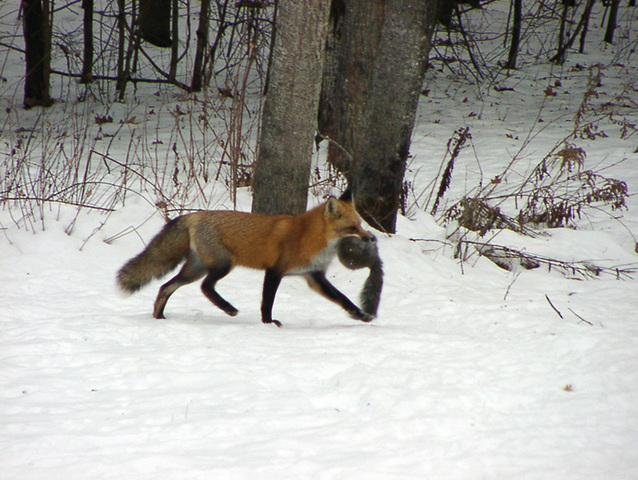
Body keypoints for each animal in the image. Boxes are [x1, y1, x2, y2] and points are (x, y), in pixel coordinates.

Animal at [117, 191, 378, 326]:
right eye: (353, 227)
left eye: (361, 224)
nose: (371, 237)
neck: (312, 237)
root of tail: (193, 215)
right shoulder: (275, 270)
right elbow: (267, 302)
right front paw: (268, 323)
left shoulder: (314, 276)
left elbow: (343, 298)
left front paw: (361, 315)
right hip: (223, 265)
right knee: (205, 287)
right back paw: (228, 308)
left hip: (195, 270)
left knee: (166, 287)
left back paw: (159, 317)